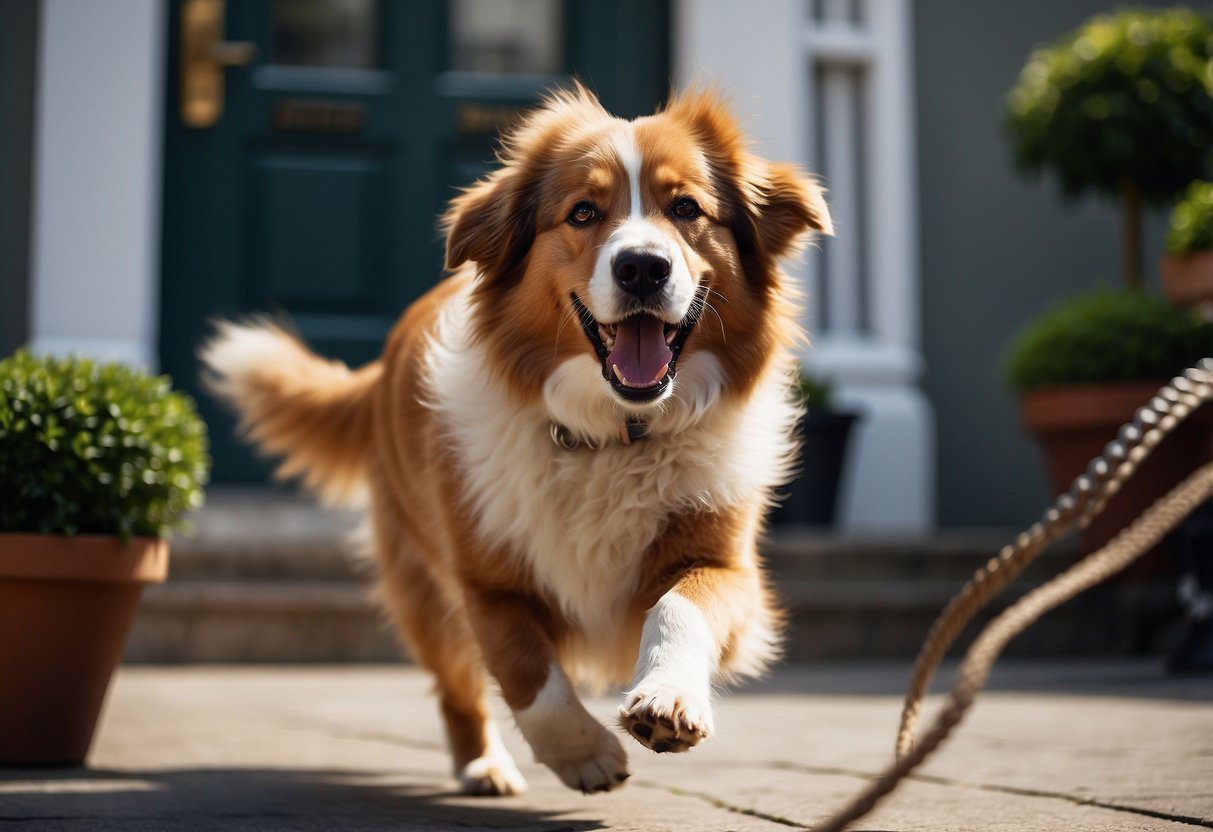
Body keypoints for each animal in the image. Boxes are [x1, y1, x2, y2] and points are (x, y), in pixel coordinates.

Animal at [203, 84, 829, 795]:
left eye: (686, 208)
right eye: (582, 212)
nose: (643, 267)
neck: (611, 435)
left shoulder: (726, 566)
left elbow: (680, 606)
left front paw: (667, 698)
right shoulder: (484, 583)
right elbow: (527, 670)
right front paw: (582, 752)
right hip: (421, 589)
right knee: (457, 687)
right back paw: (484, 765)